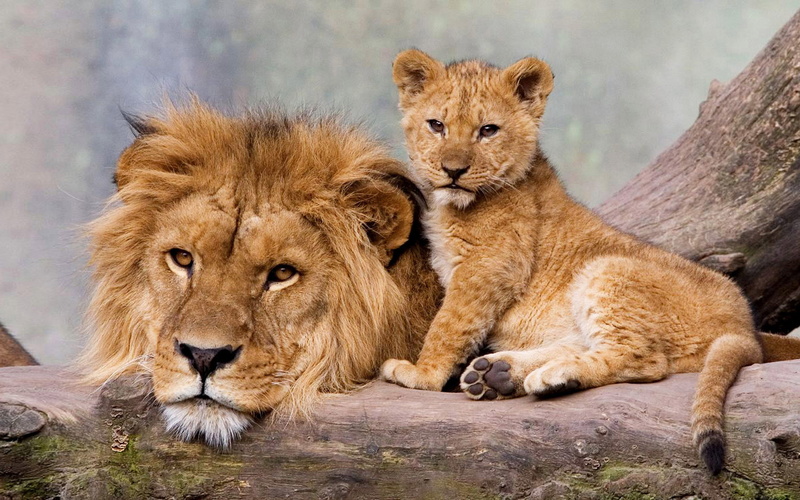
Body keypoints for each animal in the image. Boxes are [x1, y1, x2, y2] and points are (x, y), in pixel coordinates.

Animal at [379, 49, 800, 474]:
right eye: (436, 125)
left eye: (488, 130)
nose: (453, 171)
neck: (456, 205)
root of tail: (743, 326)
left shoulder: (489, 268)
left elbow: (448, 325)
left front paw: (422, 374)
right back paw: (500, 374)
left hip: (605, 269)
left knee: (643, 359)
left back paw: (550, 378)